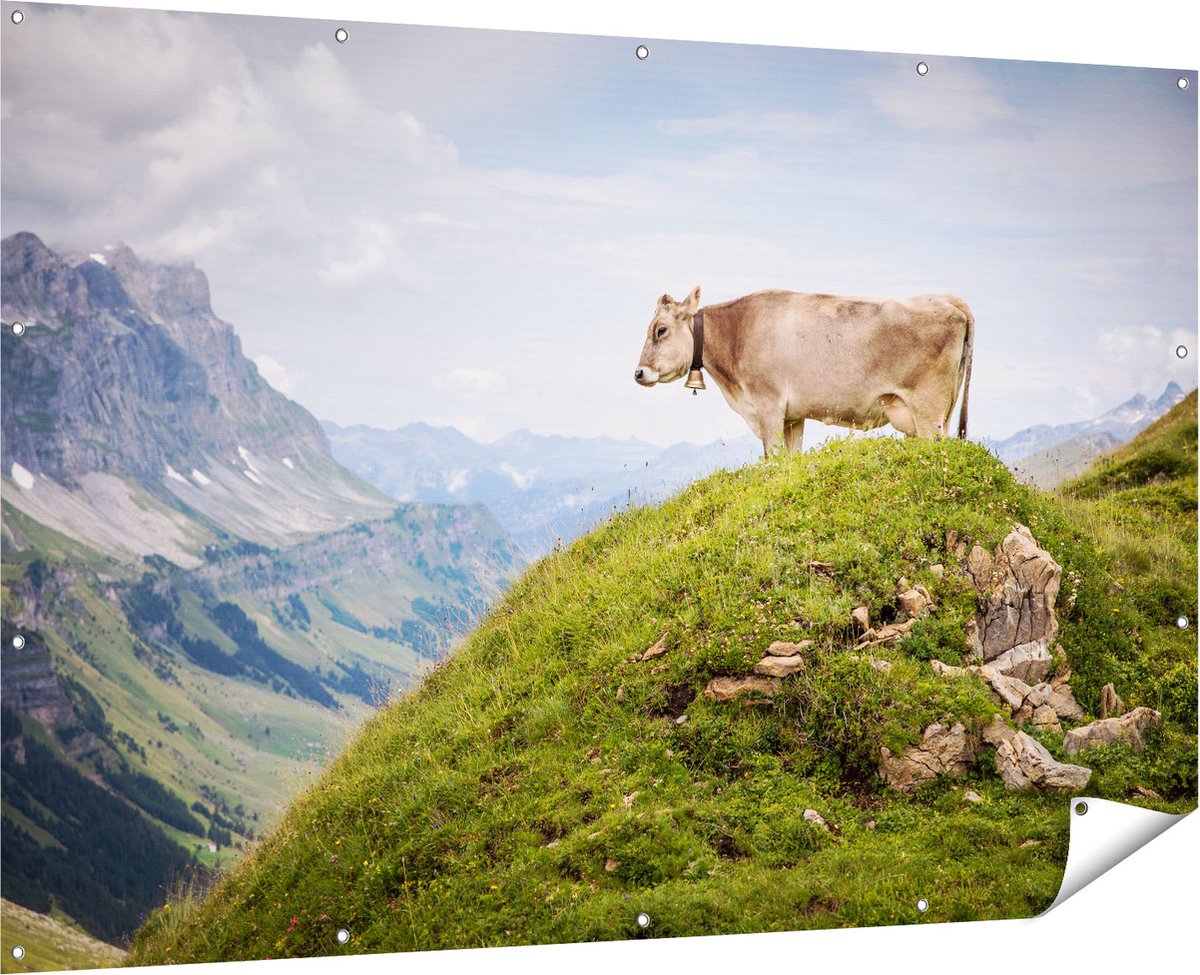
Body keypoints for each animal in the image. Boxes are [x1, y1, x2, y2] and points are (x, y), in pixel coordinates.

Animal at [634, 286, 974, 457]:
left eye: (661, 330)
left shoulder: (768, 406)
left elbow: (772, 459)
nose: (638, 373)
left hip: (929, 411)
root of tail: (948, 300)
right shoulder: (793, 416)